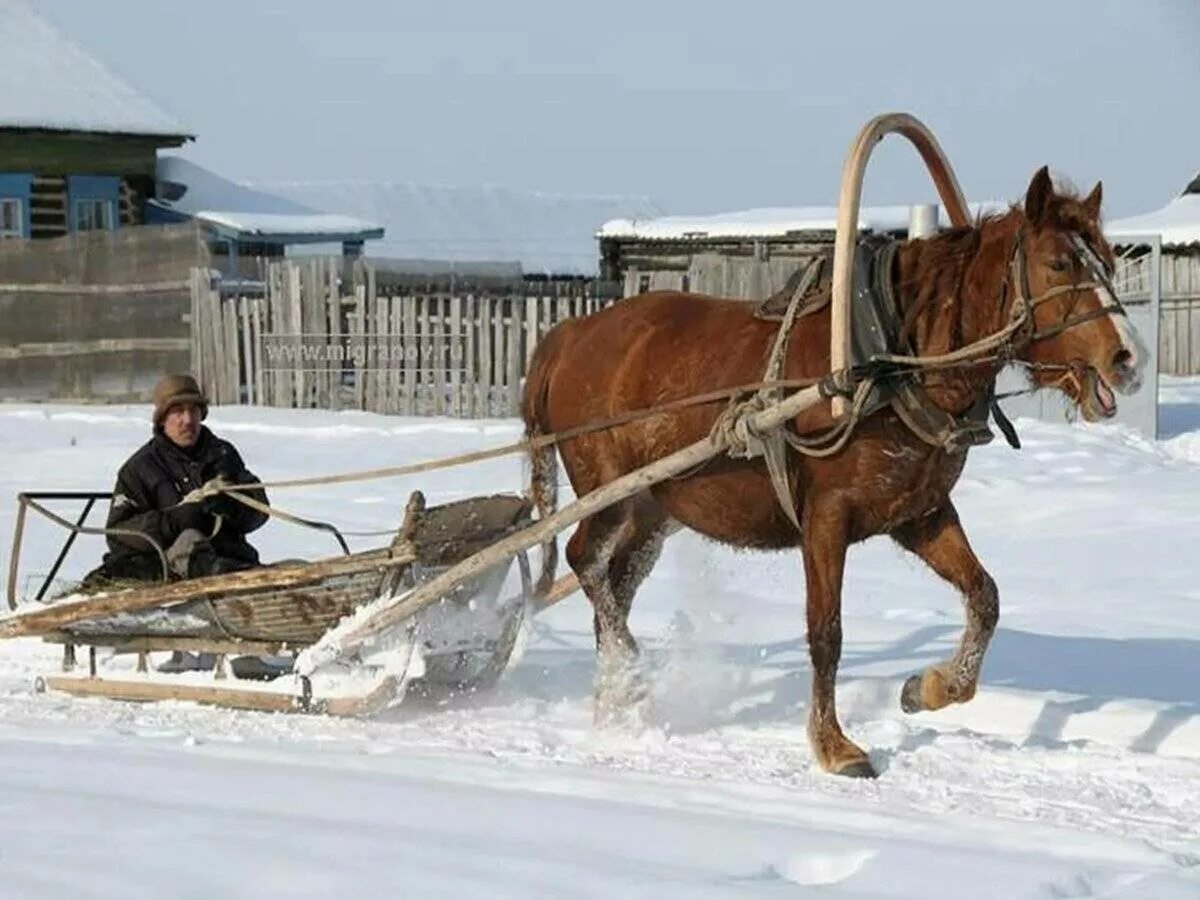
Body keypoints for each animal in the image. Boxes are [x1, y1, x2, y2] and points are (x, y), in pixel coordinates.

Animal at [520, 170, 1147, 782]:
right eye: (1059, 264)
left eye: (1107, 261)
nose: (1129, 358)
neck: (888, 364)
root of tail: (566, 337)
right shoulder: (826, 518)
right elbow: (827, 634)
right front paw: (834, 745)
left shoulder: (919, 514)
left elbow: (985, 596)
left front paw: (930, 688)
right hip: (606, 492)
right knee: (584, 561)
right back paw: (631, 672)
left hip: (651, 508)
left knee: (617, 582)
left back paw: (616, 701)